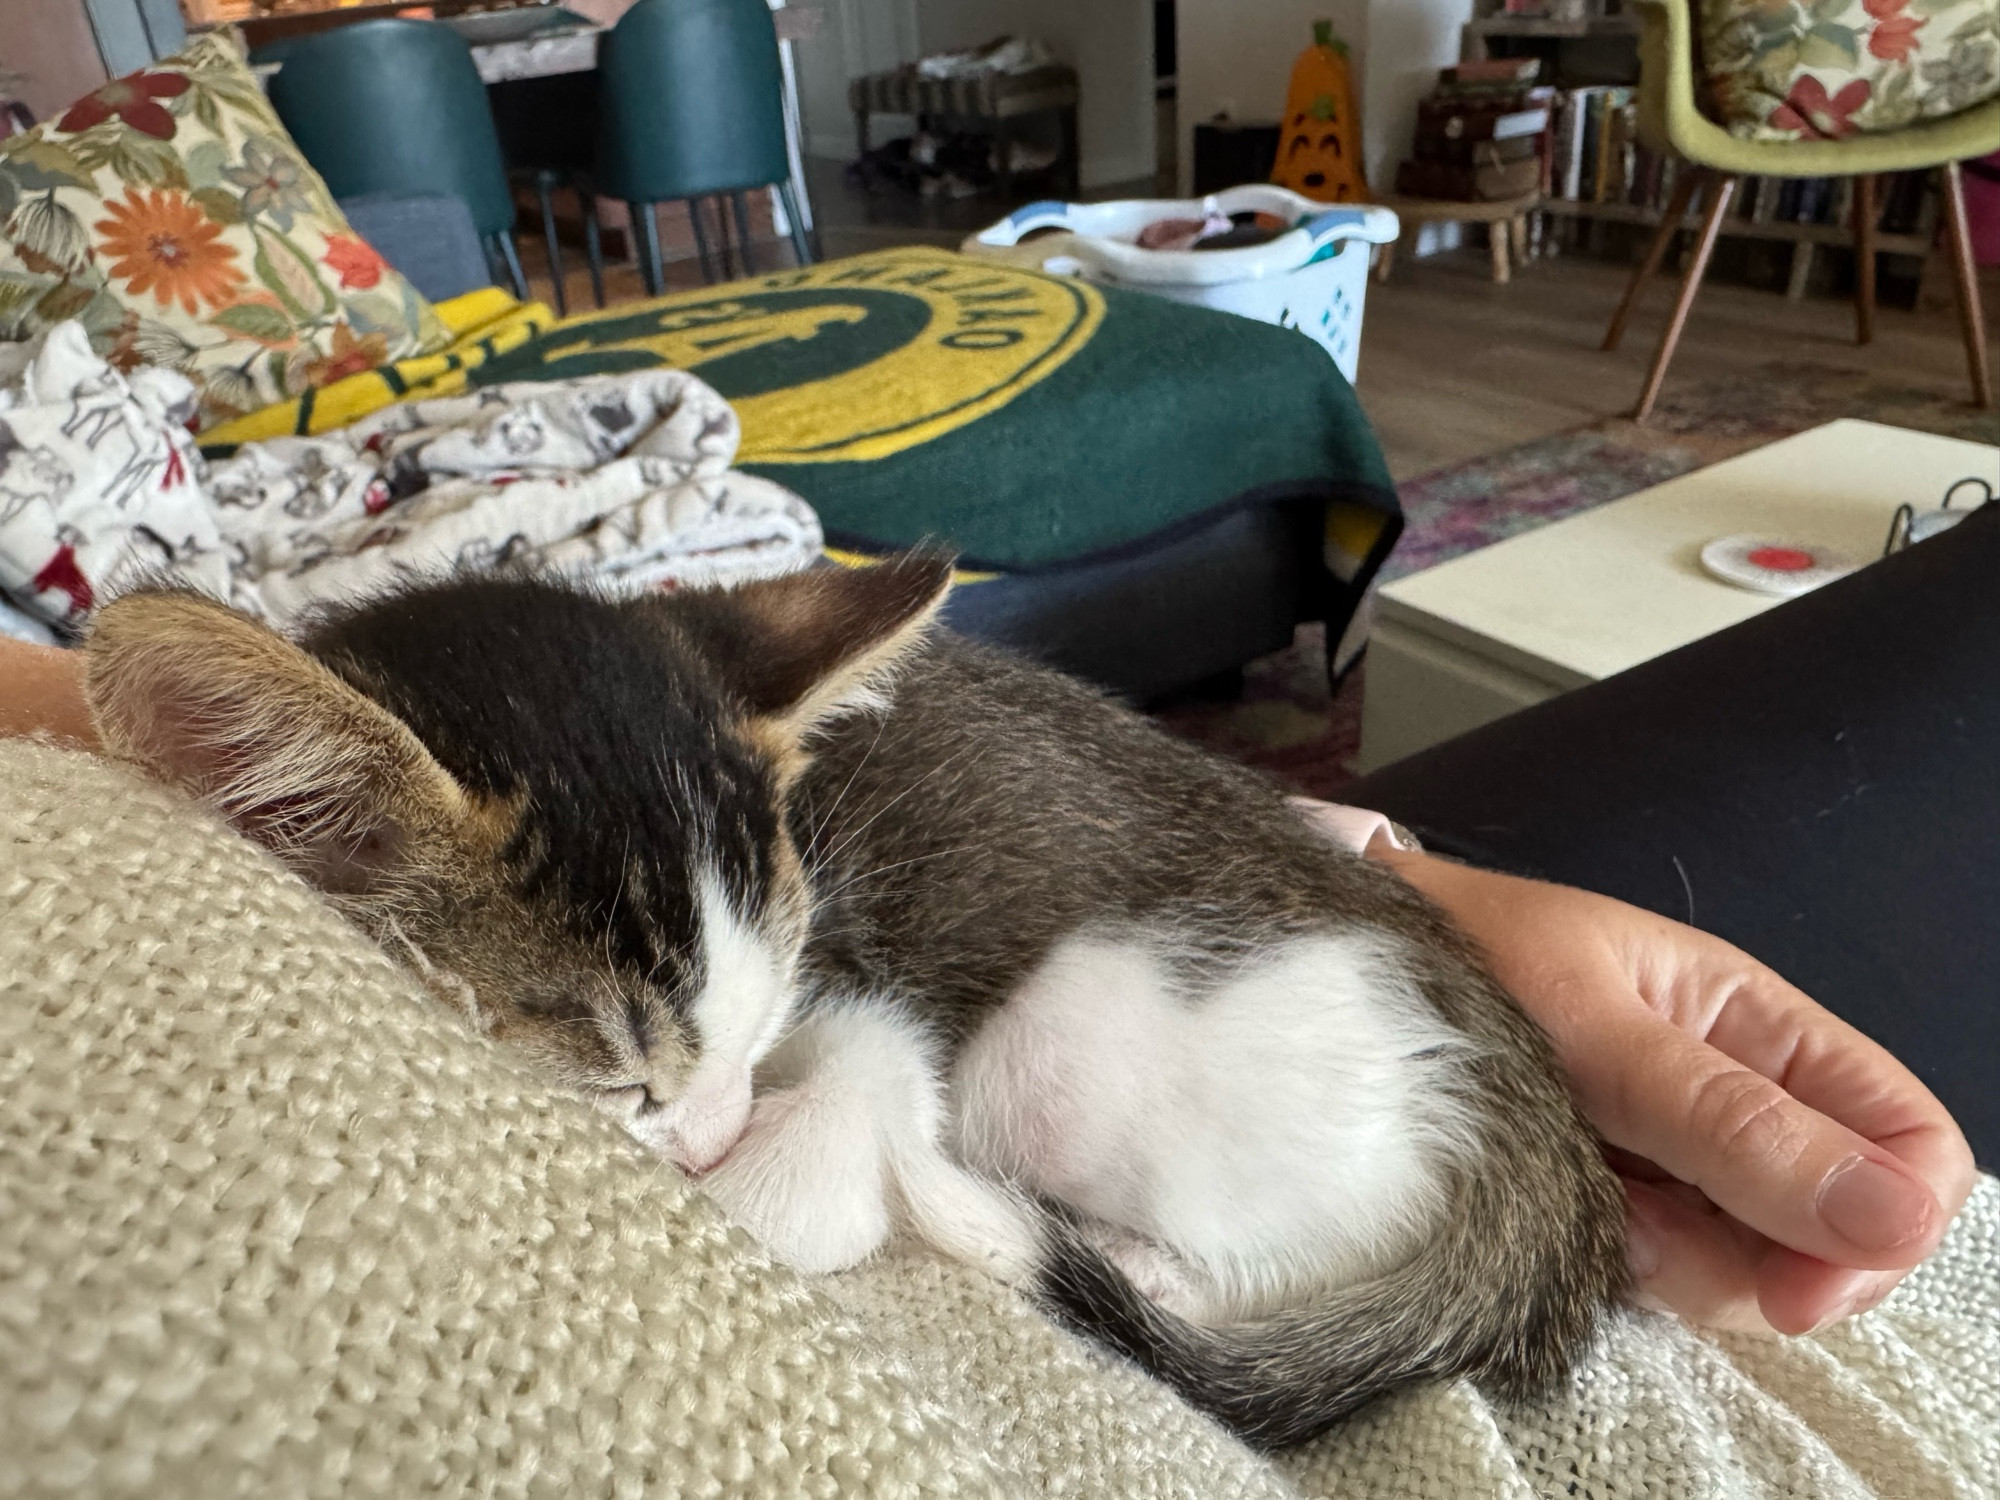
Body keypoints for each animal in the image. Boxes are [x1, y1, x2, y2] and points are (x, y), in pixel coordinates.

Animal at [86, 560, 1632, 1448]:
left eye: (763, 1023)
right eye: (621, 1081)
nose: (713, 1131)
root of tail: (1549, 1144)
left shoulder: (867, 1002)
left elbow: (821, 1177)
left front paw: (772, 1181)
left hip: (1070, 1040)